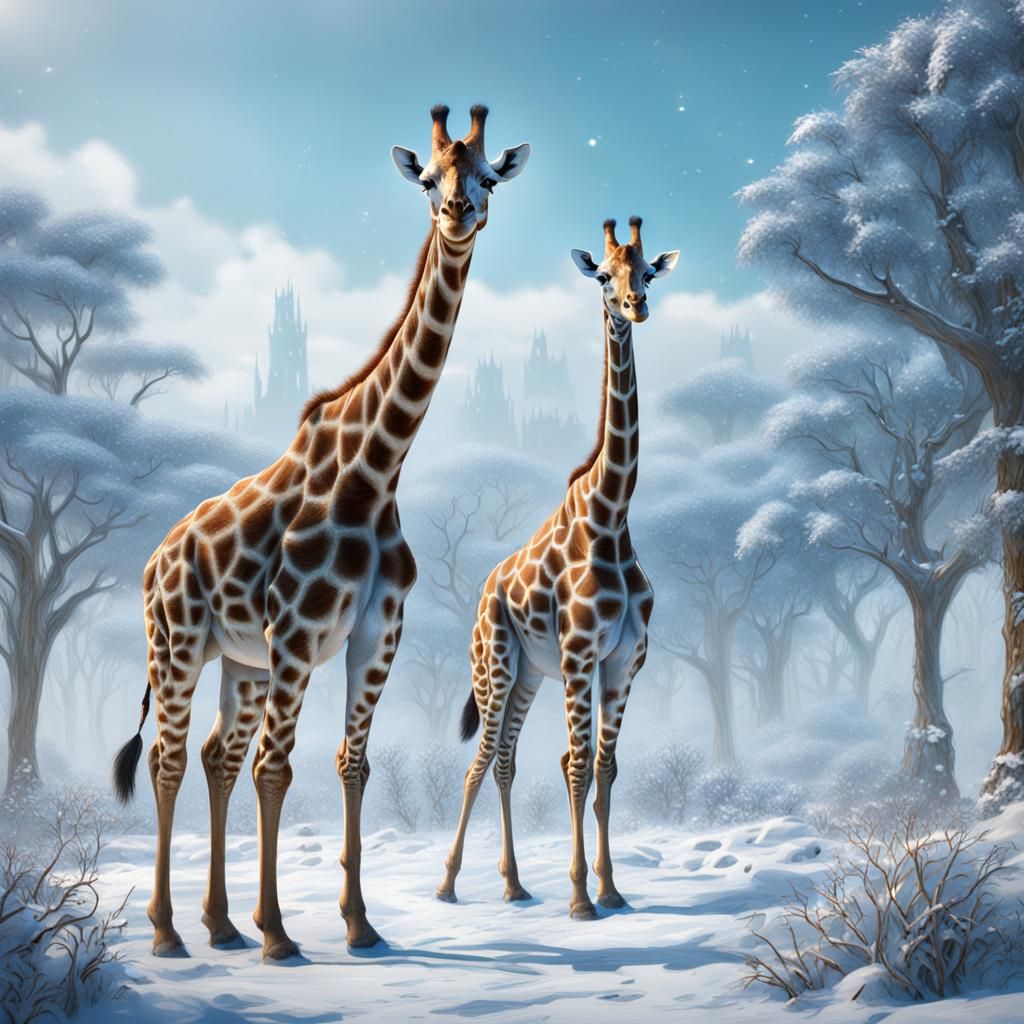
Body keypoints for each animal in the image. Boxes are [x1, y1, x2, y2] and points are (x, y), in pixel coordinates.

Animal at [111, 104, 530, 960]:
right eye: (428, 178)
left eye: (489, 178)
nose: (457, 213)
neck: (378, 468)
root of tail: (152, 560)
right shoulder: (300, 633)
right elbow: (279, 771)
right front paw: (281, 933)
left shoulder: (376, 633)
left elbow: (352, 764)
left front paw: (360, 923)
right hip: (178, 642)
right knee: (171, 759)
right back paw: (171, 932)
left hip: (243, 663)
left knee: (216, 756)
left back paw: (218, 925)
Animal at [436, 217, 678, 918]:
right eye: (603, 275)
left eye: (646, 271)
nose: (635, 306)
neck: (612, 514)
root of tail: (480, 595)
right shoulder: (578, 656)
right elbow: (575, 765)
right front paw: (579, 898)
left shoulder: (624, 662)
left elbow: (605, 768)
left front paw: (612, 889)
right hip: (494, 665)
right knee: (480, 760)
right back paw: (448, 883)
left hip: (526, 675)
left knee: (506, 760)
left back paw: (514, 884)